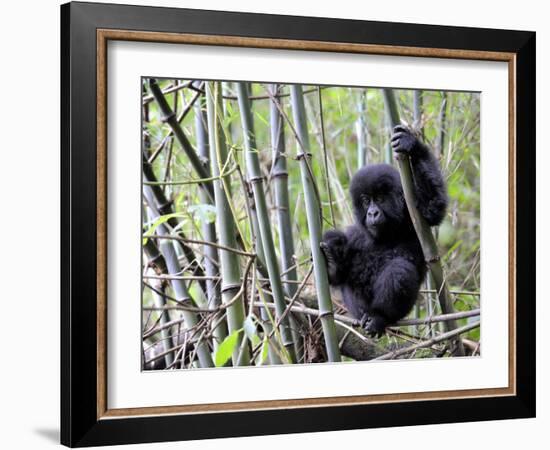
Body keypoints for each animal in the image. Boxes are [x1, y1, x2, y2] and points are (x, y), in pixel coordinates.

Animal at [324, 125, 448, 336]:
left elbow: (433, 205)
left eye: (381, 199)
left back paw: (379, 317)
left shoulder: (414, 218)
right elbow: (338, 275)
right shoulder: (355, 233)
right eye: (366, 200)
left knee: (399, 270)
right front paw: (332, 260)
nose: (372, 213)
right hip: (358, 310)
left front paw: (412, 146)